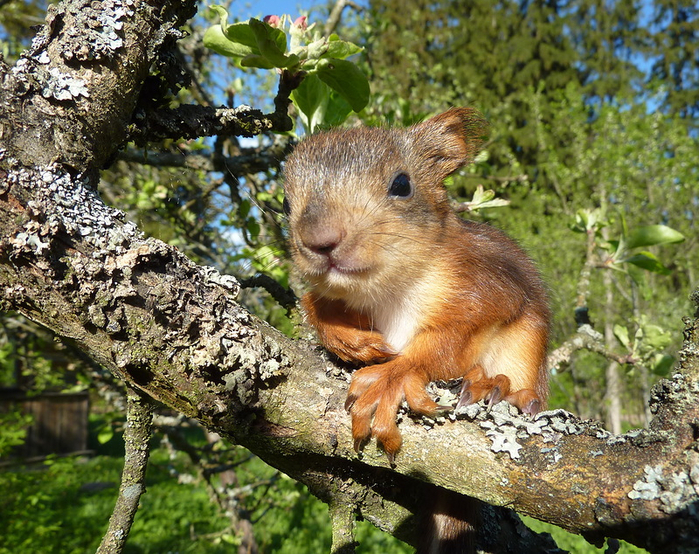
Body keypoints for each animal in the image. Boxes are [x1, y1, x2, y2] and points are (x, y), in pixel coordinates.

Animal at [282, 106, 548, 548]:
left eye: (402, 184)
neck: (387, 290)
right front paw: (350, 341)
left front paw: (392, 376)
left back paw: (497, 387)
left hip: (528, 349)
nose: (319, 239)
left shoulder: (489, 282)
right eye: (284, 202)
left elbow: (450, 338)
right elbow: (314, 305)